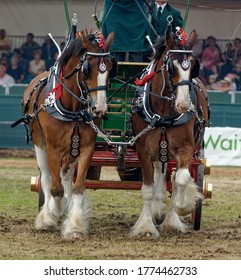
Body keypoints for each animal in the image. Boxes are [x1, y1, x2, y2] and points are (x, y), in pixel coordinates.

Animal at [17, 31, 114, 240]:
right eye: (87, 69)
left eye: (111, 67)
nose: (99, 108)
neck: (72, 108)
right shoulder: (52, 147)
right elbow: (55, 188)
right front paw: (52, 215)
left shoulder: (86, 148)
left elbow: (77, 187)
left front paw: (75, 226)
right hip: (39, 143)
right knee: (47, 178)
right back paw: (48, 214)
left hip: (71, 150)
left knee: (66, 176)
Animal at [131, 28, 208, 238]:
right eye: (171, 66)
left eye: (193, 66)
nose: (183, 104)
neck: (164, 113)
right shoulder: (143, 150)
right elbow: (148, 190)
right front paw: (146, 226)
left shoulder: (185, 148)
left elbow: (181, 180)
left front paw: (183, 207)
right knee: (160, 171)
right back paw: (157, 208)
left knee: (173, 180)